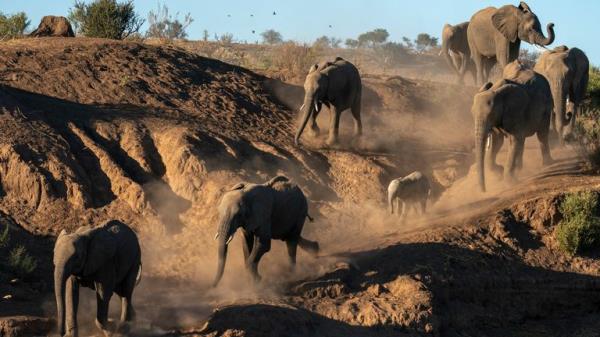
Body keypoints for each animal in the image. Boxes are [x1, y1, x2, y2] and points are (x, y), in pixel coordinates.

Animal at [474, 60, 552, 192]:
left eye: (491, 115)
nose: (484, 191)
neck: (496, 91)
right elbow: (498, 141)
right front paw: (500, 172)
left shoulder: (515, 110)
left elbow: (514, 140)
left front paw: (510, 183)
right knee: (523, 140)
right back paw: (519, 168)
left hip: (547, 107)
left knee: (542, 134)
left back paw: (547, 164)